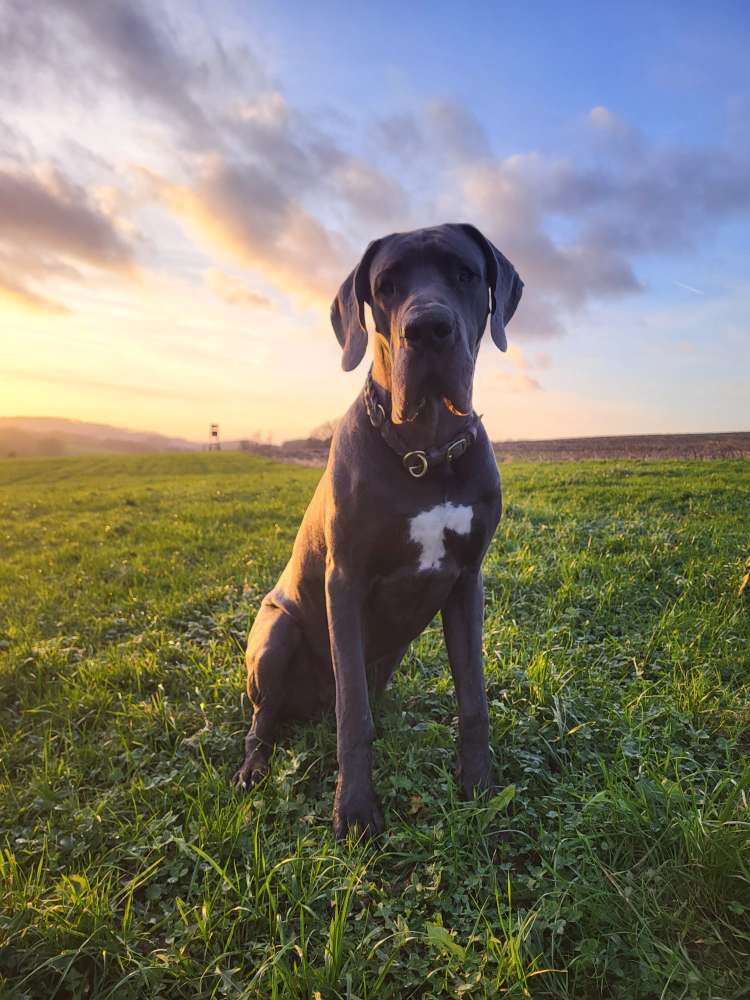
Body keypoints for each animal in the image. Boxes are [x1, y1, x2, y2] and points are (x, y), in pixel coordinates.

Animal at [235, 225, 524, 836]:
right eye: (386, 286)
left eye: (466, 273)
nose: (428, 329)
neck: (426, 451)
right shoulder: (343, 583)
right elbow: (354, 717)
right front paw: (354, 809)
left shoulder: (467, 582)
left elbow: (473, 699)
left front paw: (479, 785)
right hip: (275, 632)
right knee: (266, 716)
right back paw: (253, 766)